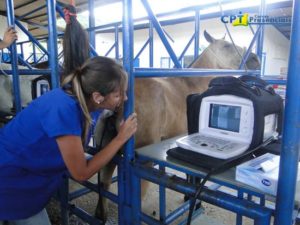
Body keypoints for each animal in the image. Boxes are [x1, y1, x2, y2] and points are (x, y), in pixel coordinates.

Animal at [92, 30, 260, 223]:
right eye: (227, 45)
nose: (255, 59)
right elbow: (193, 178)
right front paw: (194, 202)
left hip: (109, 154)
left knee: (104, 184)